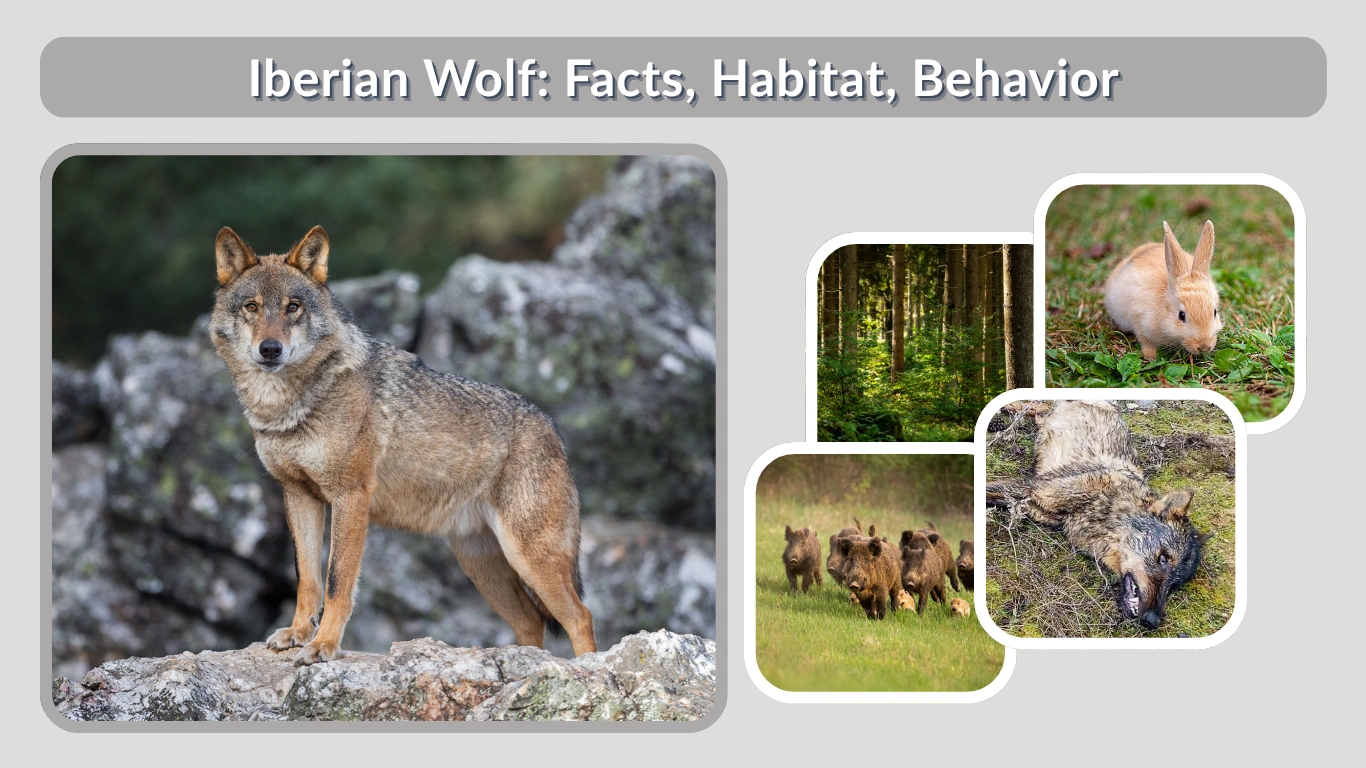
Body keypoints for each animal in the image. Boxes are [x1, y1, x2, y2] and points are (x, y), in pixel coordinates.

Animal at [209, 226, 596, 664]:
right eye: (252, 307)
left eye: (293, 307)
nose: (270, 349)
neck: (288, 407)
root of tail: (552, 428)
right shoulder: (298, 495)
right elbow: (307, 578)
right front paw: (297, 634)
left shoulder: (351, 496)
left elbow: (337, 581)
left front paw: (324, 646)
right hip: (483, 566)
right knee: (531, 622)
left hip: (528, 557)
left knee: (580, 616)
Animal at [986, 401, 1208, 629]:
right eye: (1163, 558)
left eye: (1176, 583)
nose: (1152, 620)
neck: (1106, 507)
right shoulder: (1030, 488)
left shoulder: (1033, 507)